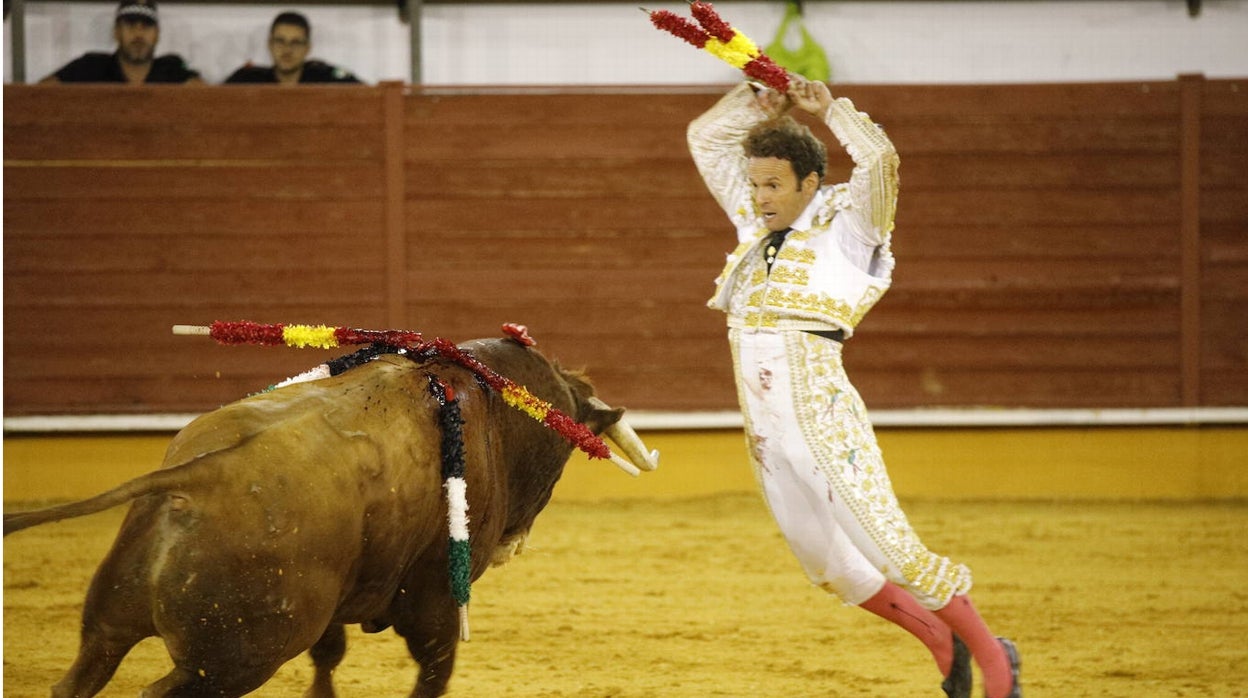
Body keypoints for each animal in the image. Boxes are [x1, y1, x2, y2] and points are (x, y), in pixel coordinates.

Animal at [2, 337, 663, 694]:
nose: (514, 542)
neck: (487, 403)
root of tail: (191, 481)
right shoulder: (434, 605)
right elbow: (435, 672)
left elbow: (328, 660)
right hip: (228, 663)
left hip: (108, 626)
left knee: (77, 678)